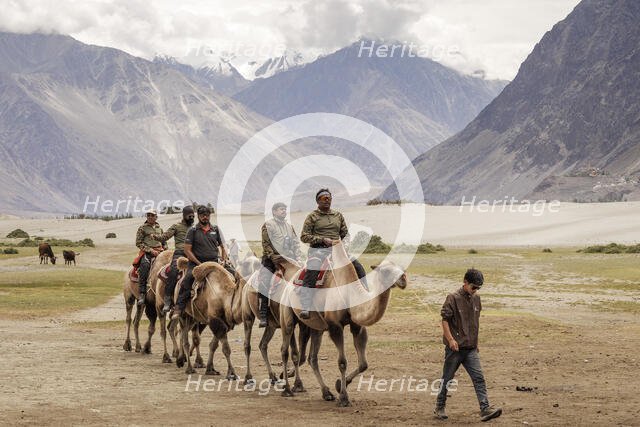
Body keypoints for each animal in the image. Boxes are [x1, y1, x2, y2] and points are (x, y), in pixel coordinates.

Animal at [241, 259, 310, 389]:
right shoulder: (287, 322)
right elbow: (294, 353)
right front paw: (296, 383)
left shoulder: (302, 324)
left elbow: (300, 355)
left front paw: (291, 378)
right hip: (247, 315)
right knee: (247, 345)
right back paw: (248, 377)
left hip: (271, 325)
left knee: (262, 345)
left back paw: (272, 377)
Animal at [278, 242, 407, 406]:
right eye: (385, 271)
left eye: (401, 268)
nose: (403, 278)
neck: (351, 294)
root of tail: (290, 281)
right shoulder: (335, 326)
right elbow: (342, 362)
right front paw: (344, 398)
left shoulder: (357, 326)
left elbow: (363, 364)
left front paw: (339, 385)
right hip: (287, 313)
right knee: (285, 349)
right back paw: (287, 389)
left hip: (316, 327)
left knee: (312, 358)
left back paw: (326, 393)